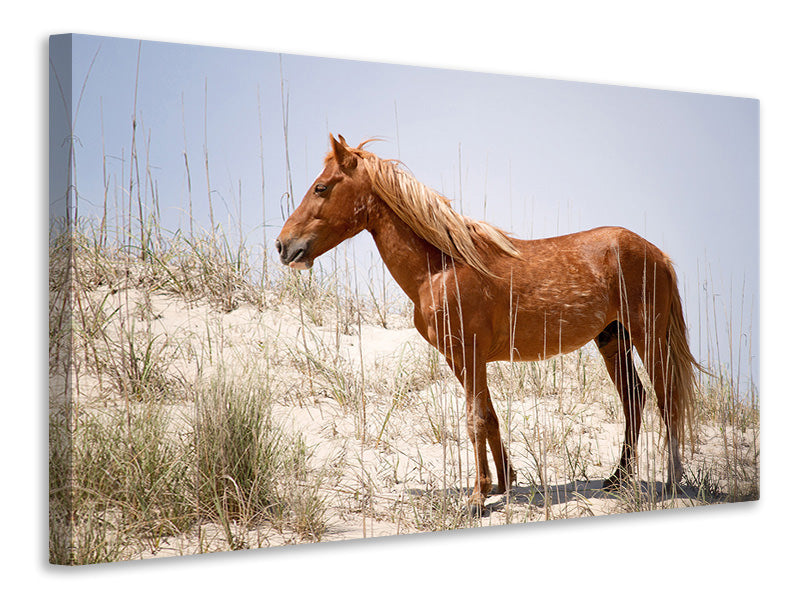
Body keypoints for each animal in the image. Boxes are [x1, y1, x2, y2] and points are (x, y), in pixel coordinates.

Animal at [276, 135, 700, 506]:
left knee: (666, 399)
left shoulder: (471, 354)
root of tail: (658, 254)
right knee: (634, 398)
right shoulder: (461, 359)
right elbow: (490, 416)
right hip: (613, 339)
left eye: (321, 188)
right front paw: (503, 483)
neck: (441, 267)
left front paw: (478, 496)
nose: (284, 246)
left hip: (649, 337)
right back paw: (618, 477)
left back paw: (672, 480)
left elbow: (475, 419)